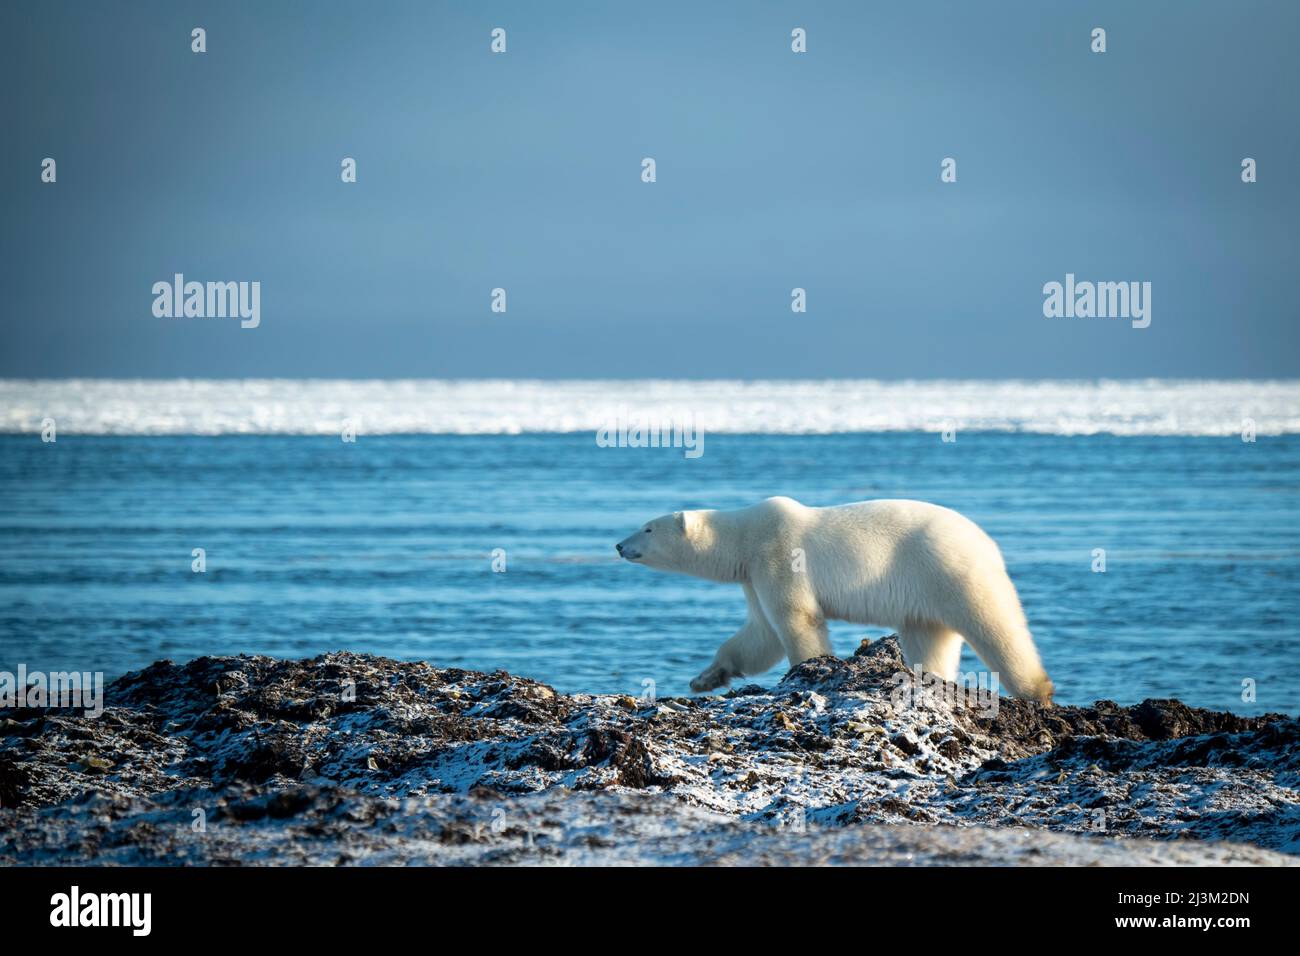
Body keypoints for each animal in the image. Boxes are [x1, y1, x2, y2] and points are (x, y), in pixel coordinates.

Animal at [618, 496, 1055, 707]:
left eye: (648, 527)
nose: (620, 545)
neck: (745, 536)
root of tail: (988, 543)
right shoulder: (753, 575)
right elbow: (760, 634)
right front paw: (705, 677)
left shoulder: (778, 554)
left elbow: (796, 620)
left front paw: (805, 672)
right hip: (925, 595)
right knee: (929, 638)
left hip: (951, 569)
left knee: (995, 625)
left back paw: (1039, 692)